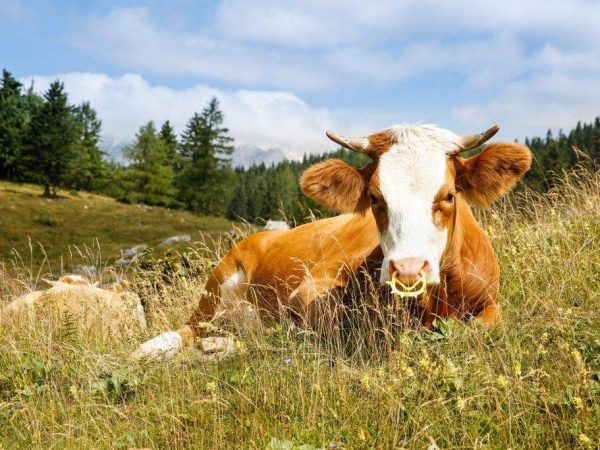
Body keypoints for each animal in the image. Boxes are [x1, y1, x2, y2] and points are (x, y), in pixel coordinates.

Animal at [134, 123, 532, 358]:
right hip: (214, 290)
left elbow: (476, 328)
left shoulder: (492, 304)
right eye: (375, 198)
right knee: (188, 330)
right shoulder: (310, 290)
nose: (407, 269)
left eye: (449, 196)